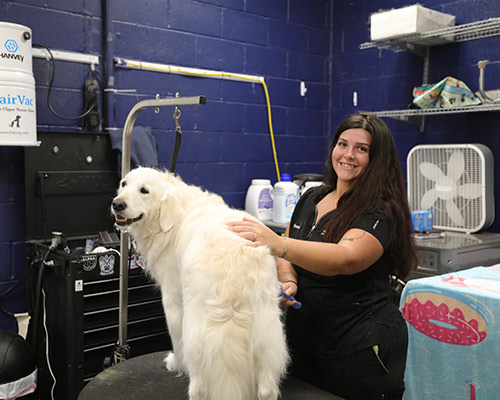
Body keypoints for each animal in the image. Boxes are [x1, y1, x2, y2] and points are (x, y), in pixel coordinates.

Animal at [111, 167, 288, 398]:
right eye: (124, 183)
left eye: (144, 190)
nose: (117, 204)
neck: (173, 217)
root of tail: (234, 263)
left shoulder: (172, 300)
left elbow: (176, 341)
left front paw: (175, 363)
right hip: (268, 333)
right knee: (267, 388)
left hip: (197, 335)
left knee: (199, 385)